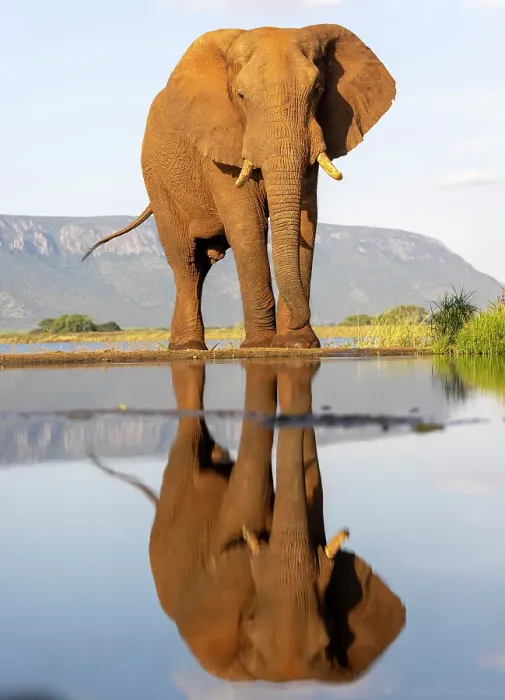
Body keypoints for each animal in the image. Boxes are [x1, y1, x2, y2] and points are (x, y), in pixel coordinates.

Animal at [83, 25, 396, 350]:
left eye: (318, 90)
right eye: (242, 95)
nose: (304, 322)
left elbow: (305, 221)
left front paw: (295, 344)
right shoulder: (218, 142)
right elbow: (248, 224)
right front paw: (260, 345)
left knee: (201, 266)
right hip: (157, 180)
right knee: (185, 263)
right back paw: (187, 347)